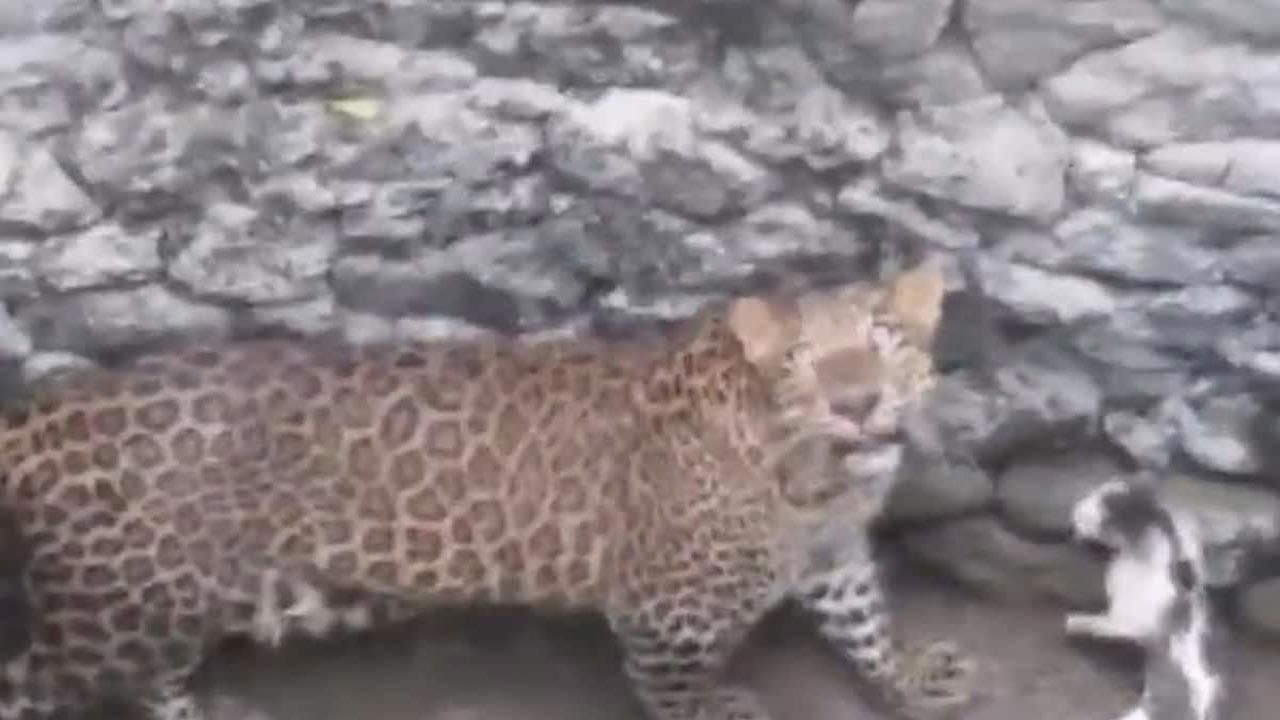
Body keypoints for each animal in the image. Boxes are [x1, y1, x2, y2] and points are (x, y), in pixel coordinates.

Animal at [0, 253, 975, 720]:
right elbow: (673, 690)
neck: (815, 477)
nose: (858, 402)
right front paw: (722, 712)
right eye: (805, 360)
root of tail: (40, 411)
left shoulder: (835, 555)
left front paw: (910, 675)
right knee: (31, 680)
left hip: (164, 607)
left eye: (884, 339)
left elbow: (863, 624)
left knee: (154, 679)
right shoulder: (667, 615)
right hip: (115, 615)